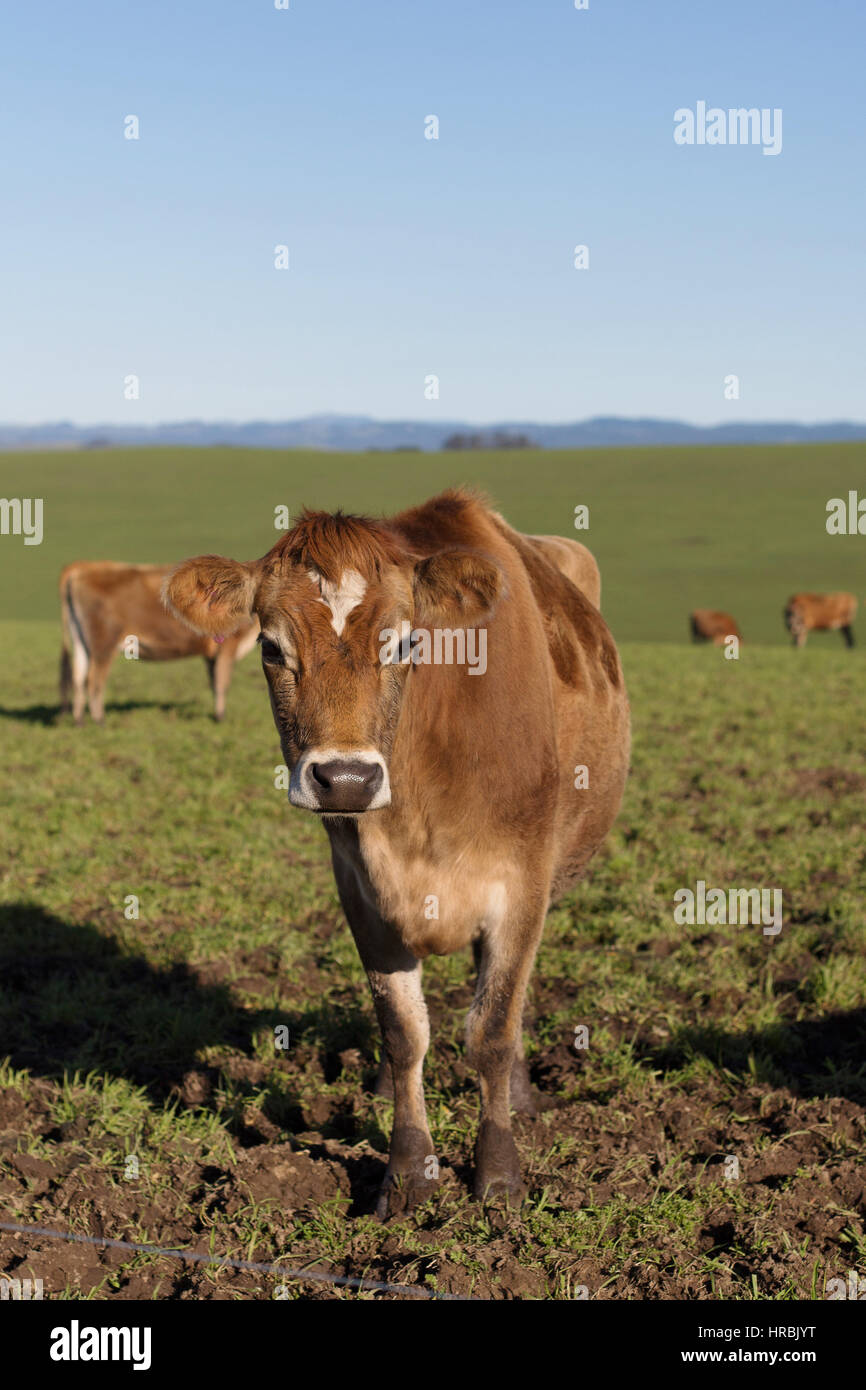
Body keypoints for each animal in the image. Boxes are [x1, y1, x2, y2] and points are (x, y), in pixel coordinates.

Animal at [59, 561, 259, 724]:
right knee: (93, 680)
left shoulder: (211, 655)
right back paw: (99, 720)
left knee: (78, 678)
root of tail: (82, 568)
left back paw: (79, 721)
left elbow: (214, 683)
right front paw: (220, 717)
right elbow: (222, 684)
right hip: (103, 644)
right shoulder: (227, 647)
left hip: (82, 643)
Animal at [164, 490, 630, 1215]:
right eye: (270, 647)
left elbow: (493, 1030)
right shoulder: (360, 889)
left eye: (407, 640)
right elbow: (404, 1031)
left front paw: (499, 1175)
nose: (347, 778)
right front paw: (409, 1172)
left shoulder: (522, 885)